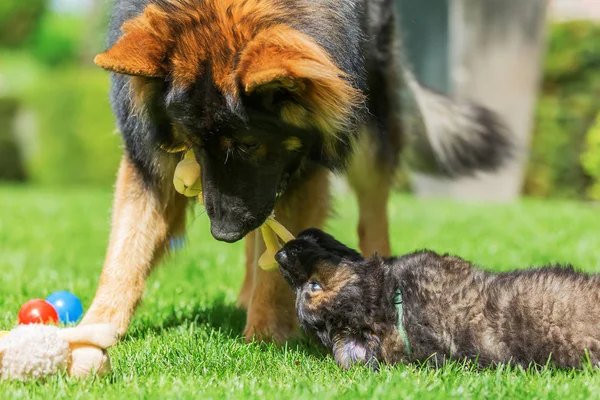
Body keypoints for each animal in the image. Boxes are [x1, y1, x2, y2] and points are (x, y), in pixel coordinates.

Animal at [79, 0, 510, 344]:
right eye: (193, 142)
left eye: (248, 144)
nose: (223, 234)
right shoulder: (149, 161)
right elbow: (125, 250)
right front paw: (95, 327)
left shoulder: (307, 163)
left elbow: (279, 259)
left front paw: (264, 338)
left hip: (368, 124)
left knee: (372, 211)